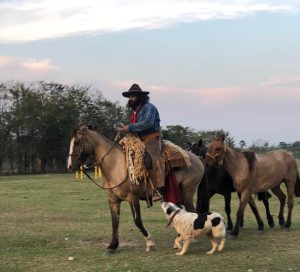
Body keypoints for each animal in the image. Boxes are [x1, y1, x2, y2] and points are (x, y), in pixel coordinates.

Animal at [67, 126, 205, 252]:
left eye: (77, 142)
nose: (69, 166)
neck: (116, 165)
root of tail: (196, 159)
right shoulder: (113, 200)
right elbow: (114, 222)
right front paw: (113, 245)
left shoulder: (132, 198)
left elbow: (137, 221)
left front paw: (150, 242)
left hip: (187, 193)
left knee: (191, 211)